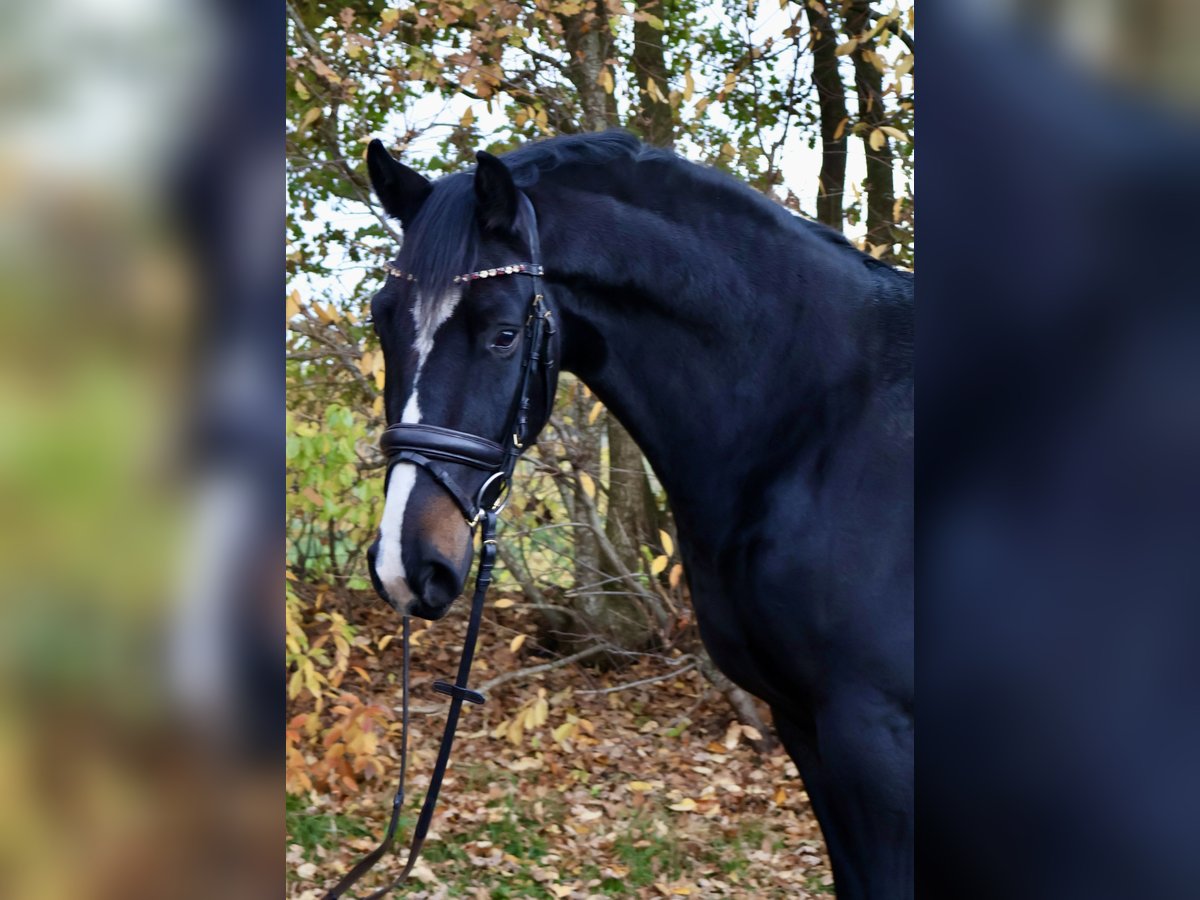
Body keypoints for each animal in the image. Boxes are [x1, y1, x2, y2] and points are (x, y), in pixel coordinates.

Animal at [363, 130, 913, 899]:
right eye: (382, 319)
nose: (403, 564)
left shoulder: (876, 740)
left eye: (503, 334)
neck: (827, 425)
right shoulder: (804, 725)